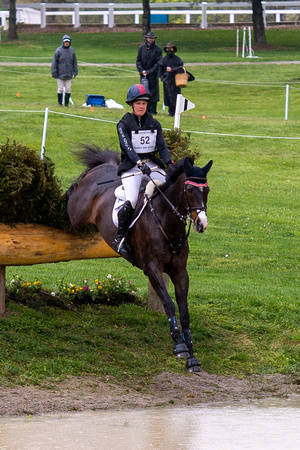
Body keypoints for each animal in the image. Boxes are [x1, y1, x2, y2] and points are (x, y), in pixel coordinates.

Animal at [67, 148, 212, 372]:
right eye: (188, 189)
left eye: (207, 191)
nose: (201, 224)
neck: (166, 222)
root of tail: (104, 167)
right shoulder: (152, 269)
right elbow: (169, 304)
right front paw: (179, 345)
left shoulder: (180, 272)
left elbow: (184, 310)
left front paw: (192, 356)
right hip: (77, 216)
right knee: (72, 195)